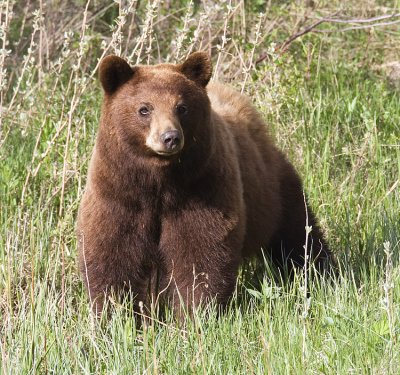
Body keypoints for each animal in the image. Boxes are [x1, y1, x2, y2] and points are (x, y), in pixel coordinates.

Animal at [76, 52, 332, 318]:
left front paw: (196, 312)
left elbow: (201, 252)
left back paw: (321, 273)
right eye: (144, 109)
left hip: (274, 190)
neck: (160, 183)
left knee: (299, 235)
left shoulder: (203, 188)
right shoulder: (118, 193)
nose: (170, 138)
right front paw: (115, 313)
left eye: (182, 107)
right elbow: (112, 252)